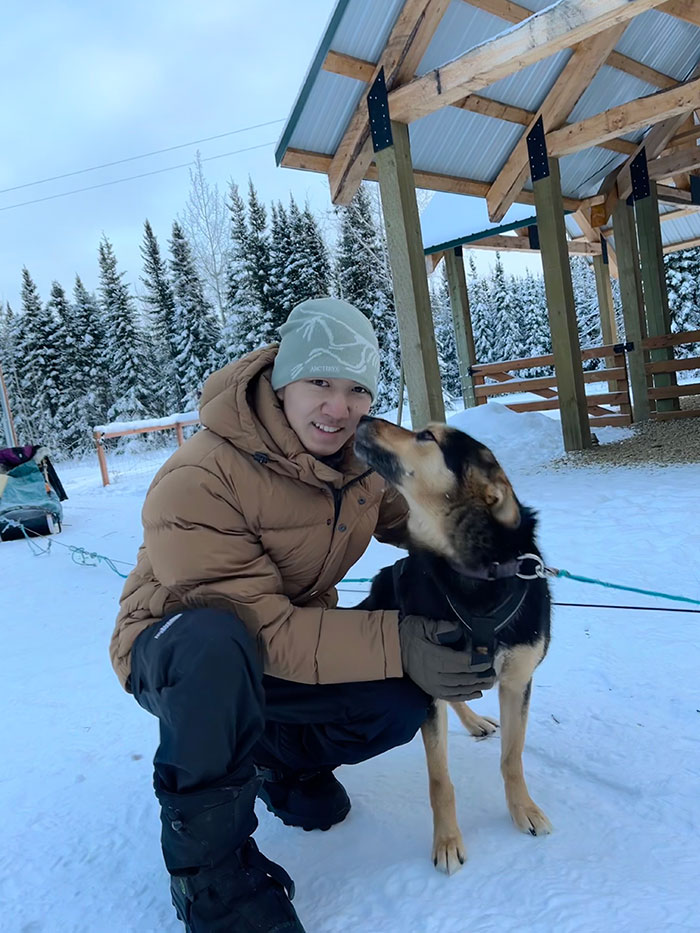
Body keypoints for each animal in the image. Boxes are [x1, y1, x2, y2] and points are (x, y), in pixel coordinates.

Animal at [356, 416, 552, 872]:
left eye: (427, 436)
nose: (363, 417)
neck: (476, 577)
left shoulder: (517, 682)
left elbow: (512, 758)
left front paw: (524, 810)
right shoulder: (429, 674)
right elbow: (440, 780)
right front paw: (446, 841)